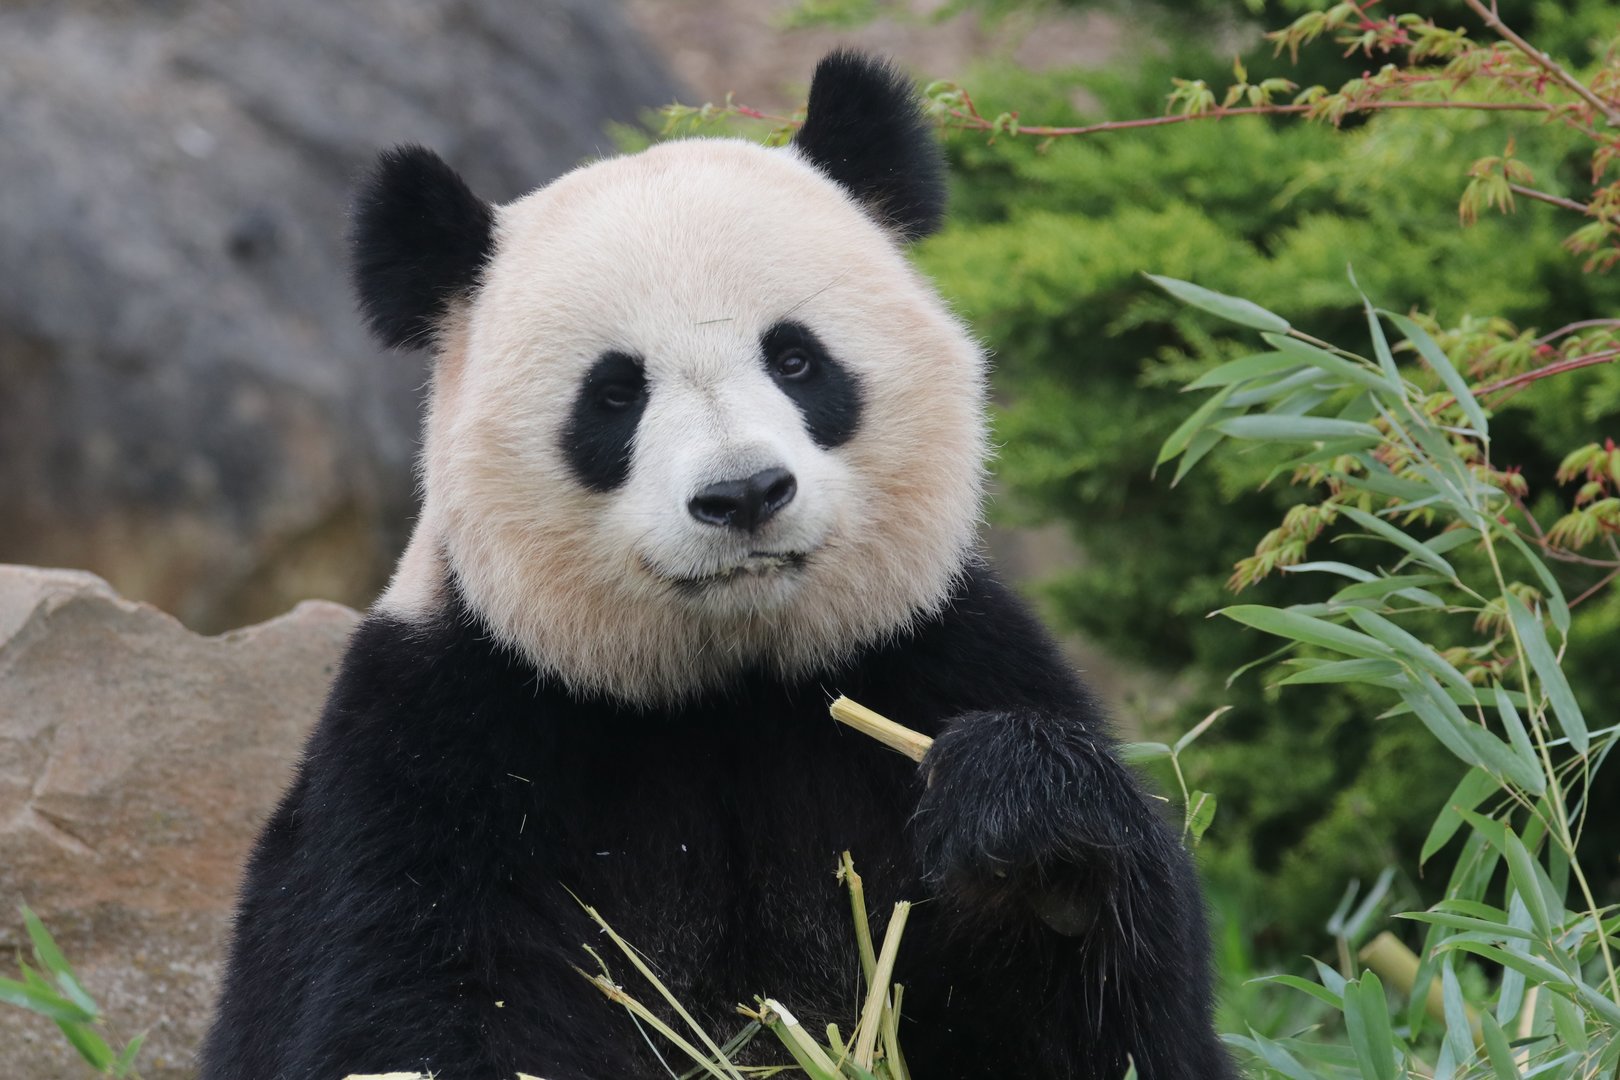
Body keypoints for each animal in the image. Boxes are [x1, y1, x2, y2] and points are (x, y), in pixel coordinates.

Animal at [199, 51, 1234, 1080]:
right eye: (615, 395)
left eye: (797, 359)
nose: (743, 495)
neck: (725, 686)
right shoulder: (439, 750)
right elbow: (397, 1008)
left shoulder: (937, 654)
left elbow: (1122, 1022)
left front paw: (1023, 831)